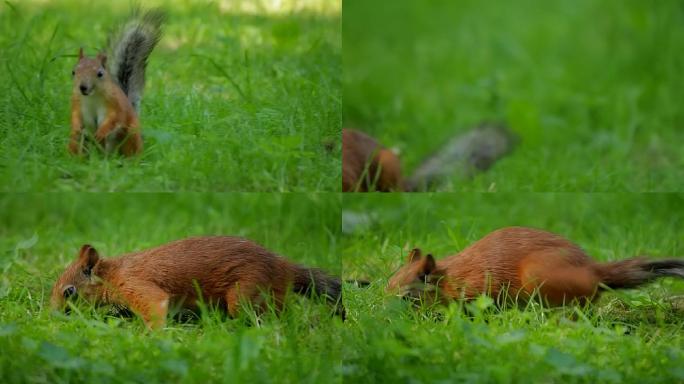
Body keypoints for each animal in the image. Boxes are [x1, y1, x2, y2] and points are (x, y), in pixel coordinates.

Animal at [50, 236, 344, 328]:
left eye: (70, 291)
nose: (53, 314)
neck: (112, 274)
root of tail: (284, 267)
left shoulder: (135, 284)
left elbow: (154, 305)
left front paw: (151, 336)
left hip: (245, 292)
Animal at [68, 9, 164, 157]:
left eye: (100, 74)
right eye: (73, 72)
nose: (82, 87)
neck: (92, 97)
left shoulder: (116, 104)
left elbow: (115, 118)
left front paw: (101, 132)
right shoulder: (77, 101)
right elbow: (75, 115)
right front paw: (76, 127)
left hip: (131, 136)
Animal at [388, 228, 684, 306]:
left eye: (407, 297)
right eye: (388, 282)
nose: (384, 314)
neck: (451, 275)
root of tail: (594, 272)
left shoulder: (477, 286)